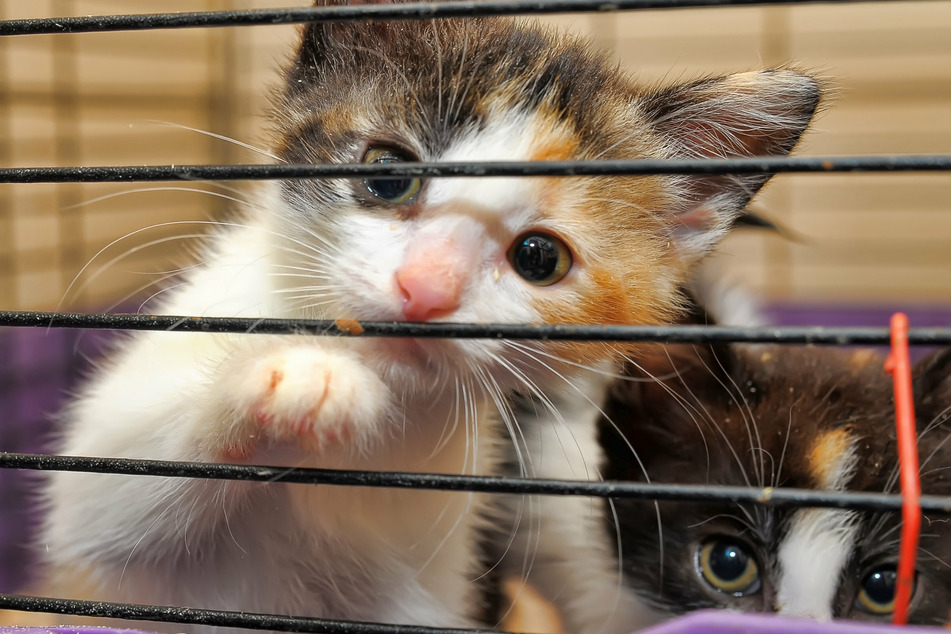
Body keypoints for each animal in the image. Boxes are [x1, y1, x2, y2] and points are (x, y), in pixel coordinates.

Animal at [39, 2, 820, 628]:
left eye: (540, 256)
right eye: (388, 172)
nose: (425, 289)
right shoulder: (99, 522)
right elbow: (107, 500)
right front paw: (298, 378)